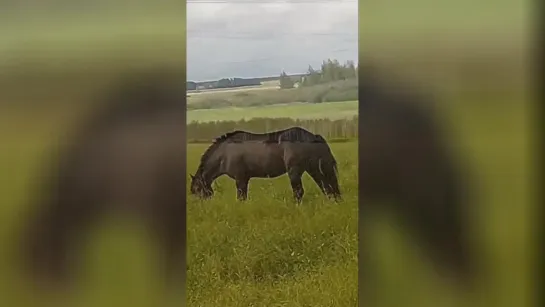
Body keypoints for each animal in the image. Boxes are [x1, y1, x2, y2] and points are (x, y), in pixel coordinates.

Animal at [188, 128, 340, 205]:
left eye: (197, 189)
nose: (203, 207)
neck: (225, 152)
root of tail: (313, 136)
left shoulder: (240, 178)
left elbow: (241, 197)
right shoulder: (244, 179)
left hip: (295, 171)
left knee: (299, 192)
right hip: (314, 169)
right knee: (326, 187)